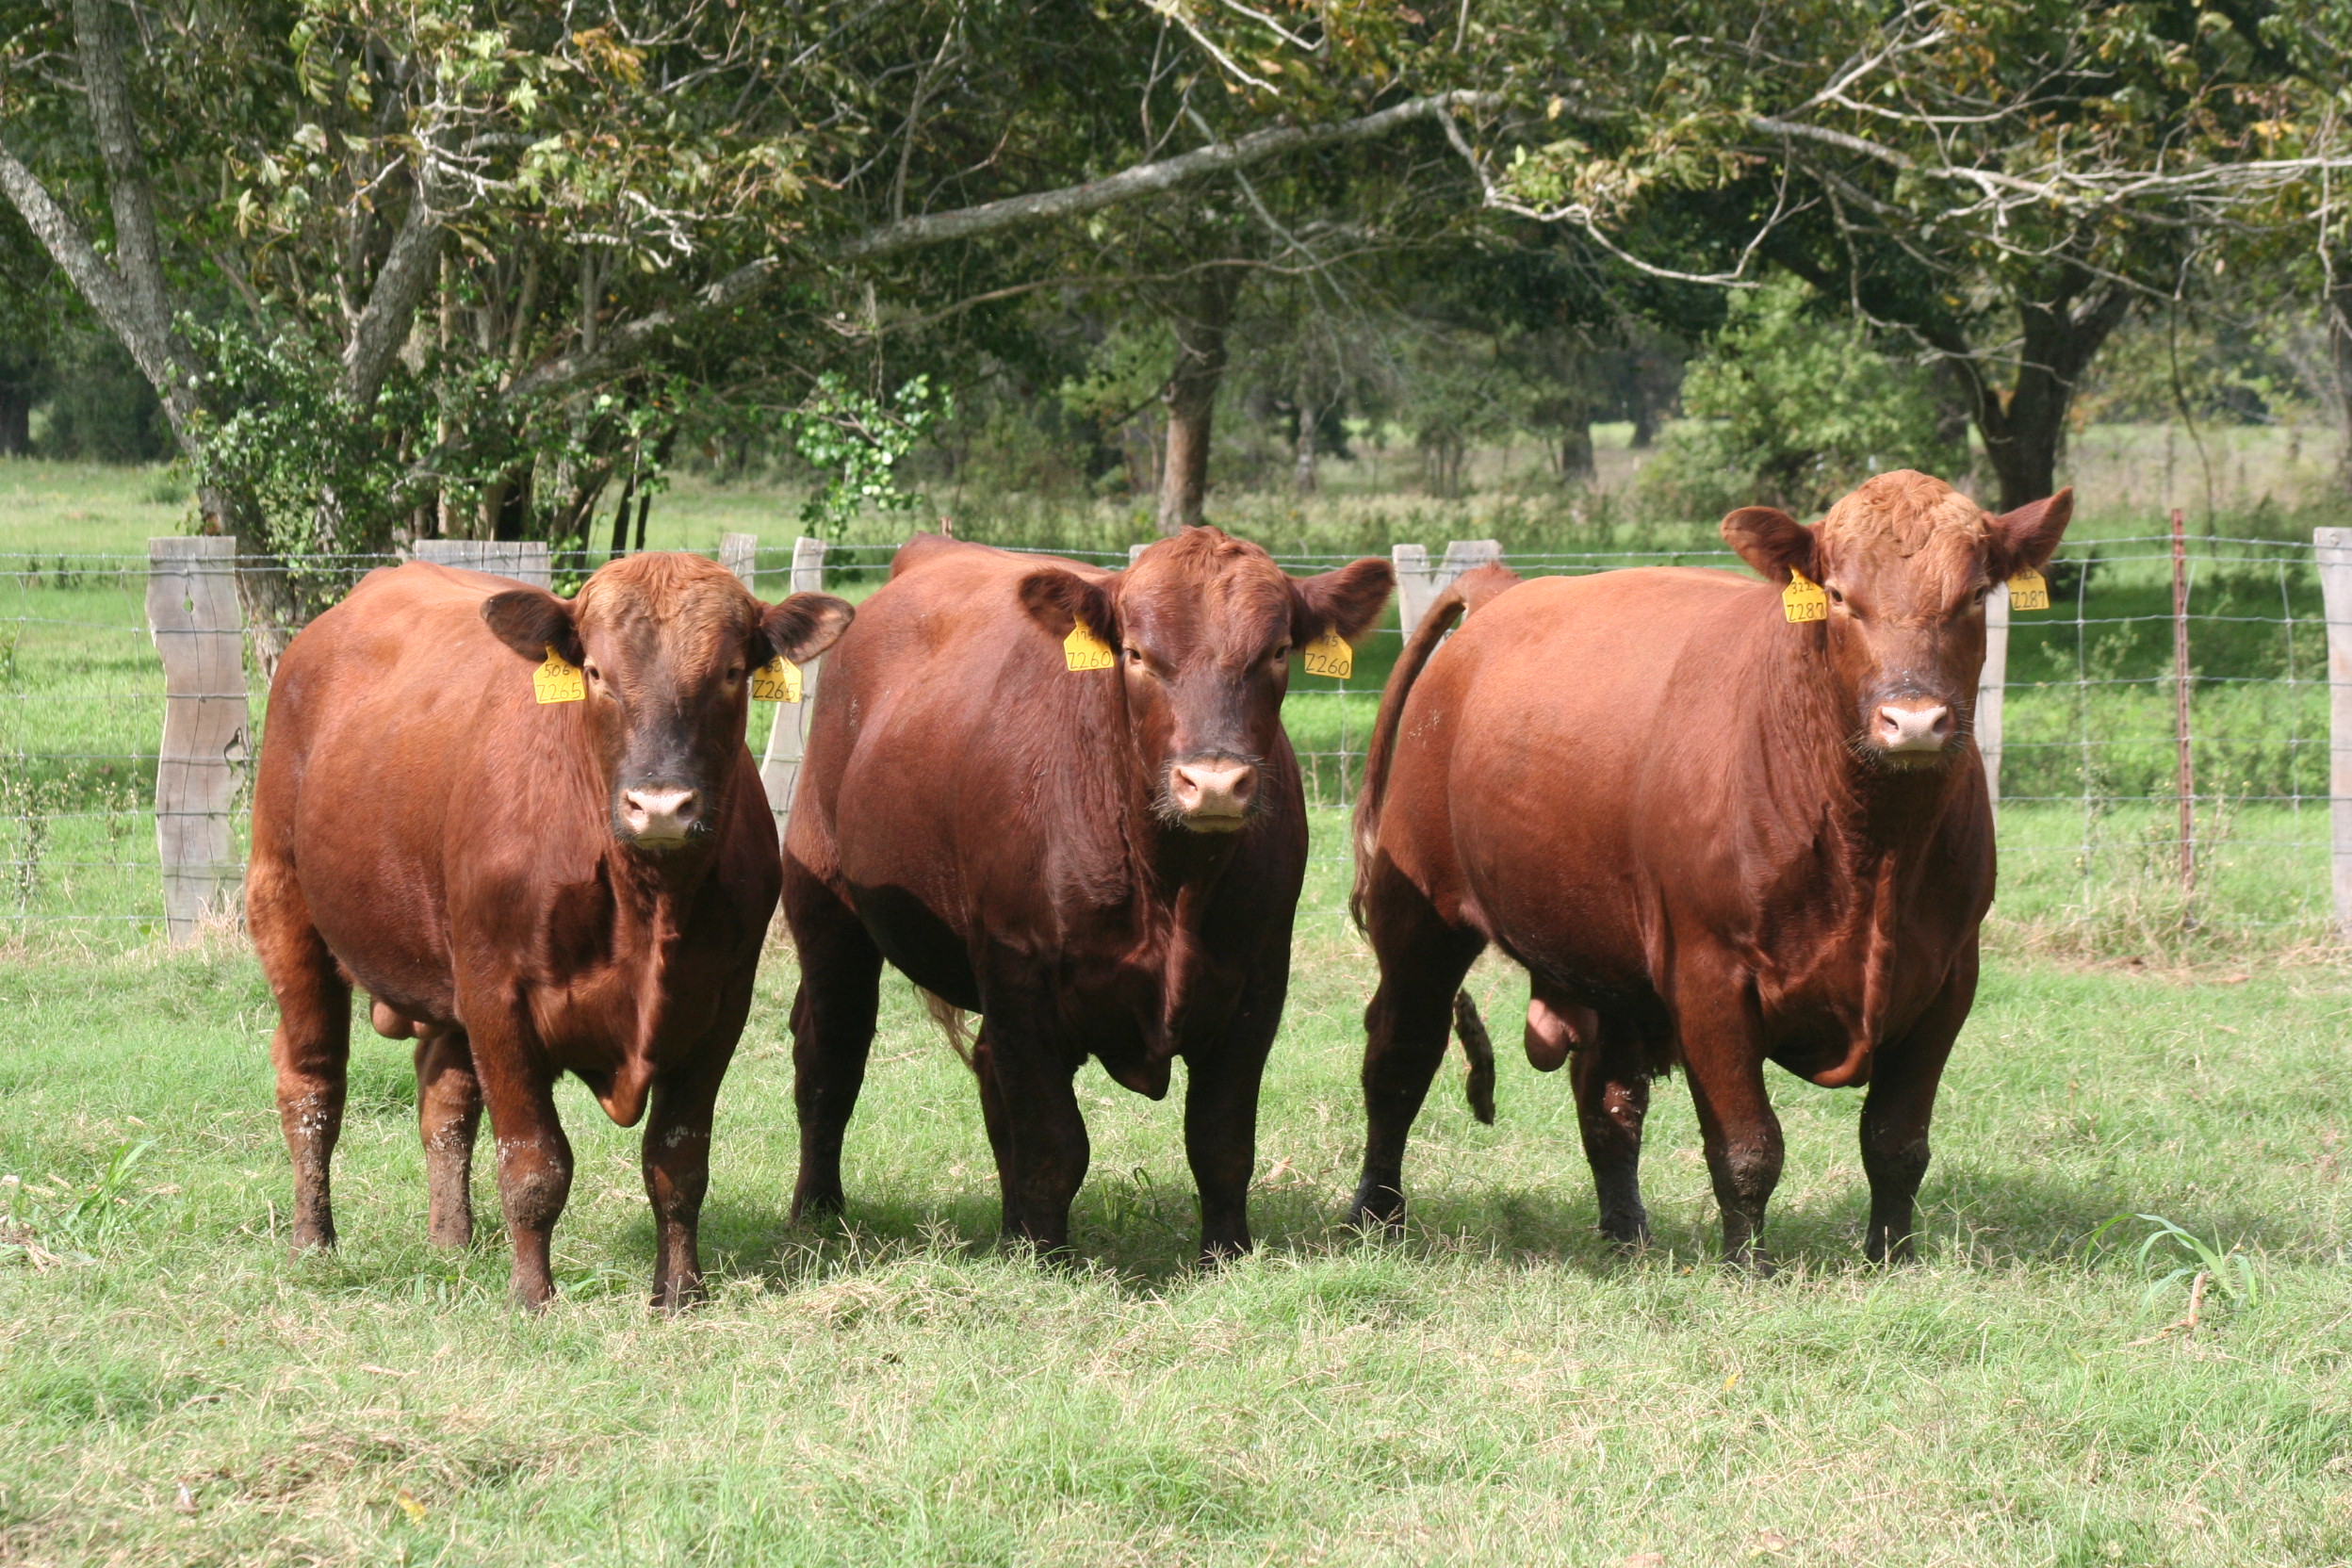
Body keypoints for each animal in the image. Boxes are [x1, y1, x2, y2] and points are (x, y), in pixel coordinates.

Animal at [248, 557, 851, 1307]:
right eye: (594, 671)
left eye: (733, 672)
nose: (660, 806)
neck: (648, 903)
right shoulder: (497, 997)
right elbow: (534, 1163)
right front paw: (532, 1296)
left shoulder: (721, 1005)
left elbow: (678, 1160)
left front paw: (680, 1292)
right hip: (286, 909)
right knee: (312, 1086)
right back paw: (313, 1240)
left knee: (444, 1099)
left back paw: (451, 1239)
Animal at [780, 526, 1382, 1260]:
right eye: (1137, 653)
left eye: (1275, 652)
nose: (1213, 784)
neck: (1170, 885)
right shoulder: (1020, 974)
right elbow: (1054, 1144)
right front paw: (1047, 1257)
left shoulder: (1258, 983)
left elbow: (1221, 1141)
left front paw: (1227, 1253)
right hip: (828, 909)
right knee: (830, 1054)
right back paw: (817, 1209)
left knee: (985, 1072)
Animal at [1354, 472, 2069, 1269]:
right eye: (1839, 594)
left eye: (1975, 595)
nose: (1913, 721)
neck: (1872, 851)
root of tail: (1503, 589)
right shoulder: (1707, 975)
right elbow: (1748, 1145)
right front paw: (1747, 1265)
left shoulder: (1948, 978)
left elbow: (1896, 1142)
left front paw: (1891, 1256)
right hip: (1420, 917)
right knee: (1399, 1058)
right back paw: (1376, 1214)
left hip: (1605, 956)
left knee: (1607, 1096)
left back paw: (1626, 1233)